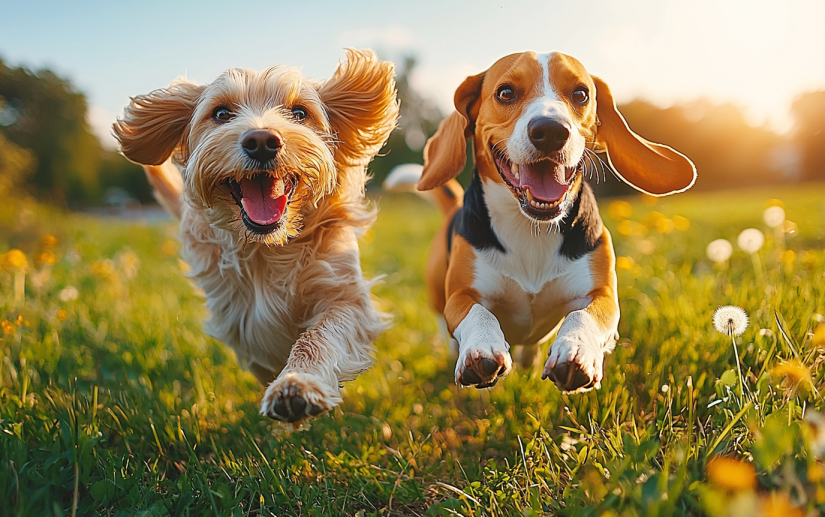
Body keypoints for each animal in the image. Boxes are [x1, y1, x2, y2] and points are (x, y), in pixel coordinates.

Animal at [114, 50, 398, 426]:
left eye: (299, 113)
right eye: (221, 113)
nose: (262, 140)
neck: (269, 249)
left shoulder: (344, 295)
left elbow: (317, 337)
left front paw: (296, 384)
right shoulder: (240, 317)